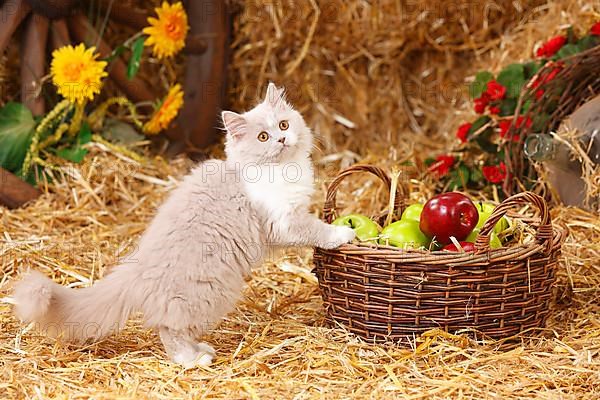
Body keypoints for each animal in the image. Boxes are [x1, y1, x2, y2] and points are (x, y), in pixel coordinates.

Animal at [12, 83, 356, 368]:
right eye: (263, 137)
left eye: (283, 125)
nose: (282, 139)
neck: (281, 169)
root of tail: (138, 266)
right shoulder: (282, 221)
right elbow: (314, 228)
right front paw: (343, 234)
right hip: (207, 294)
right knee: (170, 330)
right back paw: (193, 359)